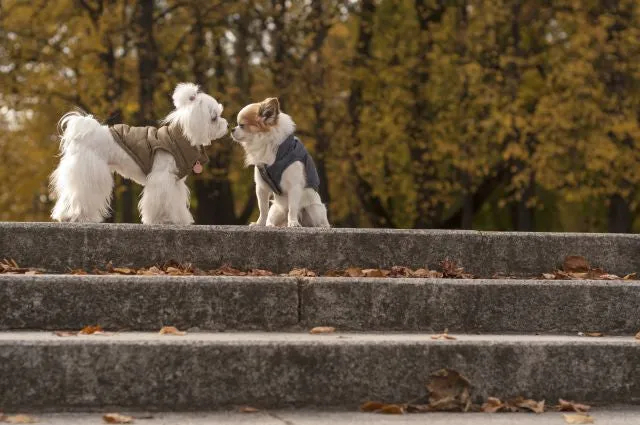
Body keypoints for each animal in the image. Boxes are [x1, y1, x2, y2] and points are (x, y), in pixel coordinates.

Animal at [51, 81, 229, 224]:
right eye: (214, 118)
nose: (226, 125)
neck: (180, 137)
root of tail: (83, 132)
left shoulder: (175, 182)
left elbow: (176, 201)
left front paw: (178, 219)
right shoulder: (162, 178)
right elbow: (160, 199)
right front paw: (161, 220)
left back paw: (66, 216)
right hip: (90, 173)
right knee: (81, 194)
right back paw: (79, 217)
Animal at [231, 97, 330, 227]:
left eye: (242, 125)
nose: (232, 129)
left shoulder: (294, 186)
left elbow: (292, 207)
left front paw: (293, 223)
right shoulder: (261, 187)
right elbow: (263, 209)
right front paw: (259, 224)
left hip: (314, 209)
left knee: (320, 222)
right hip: (276, 210)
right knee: (271, 218)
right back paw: (270, 225)